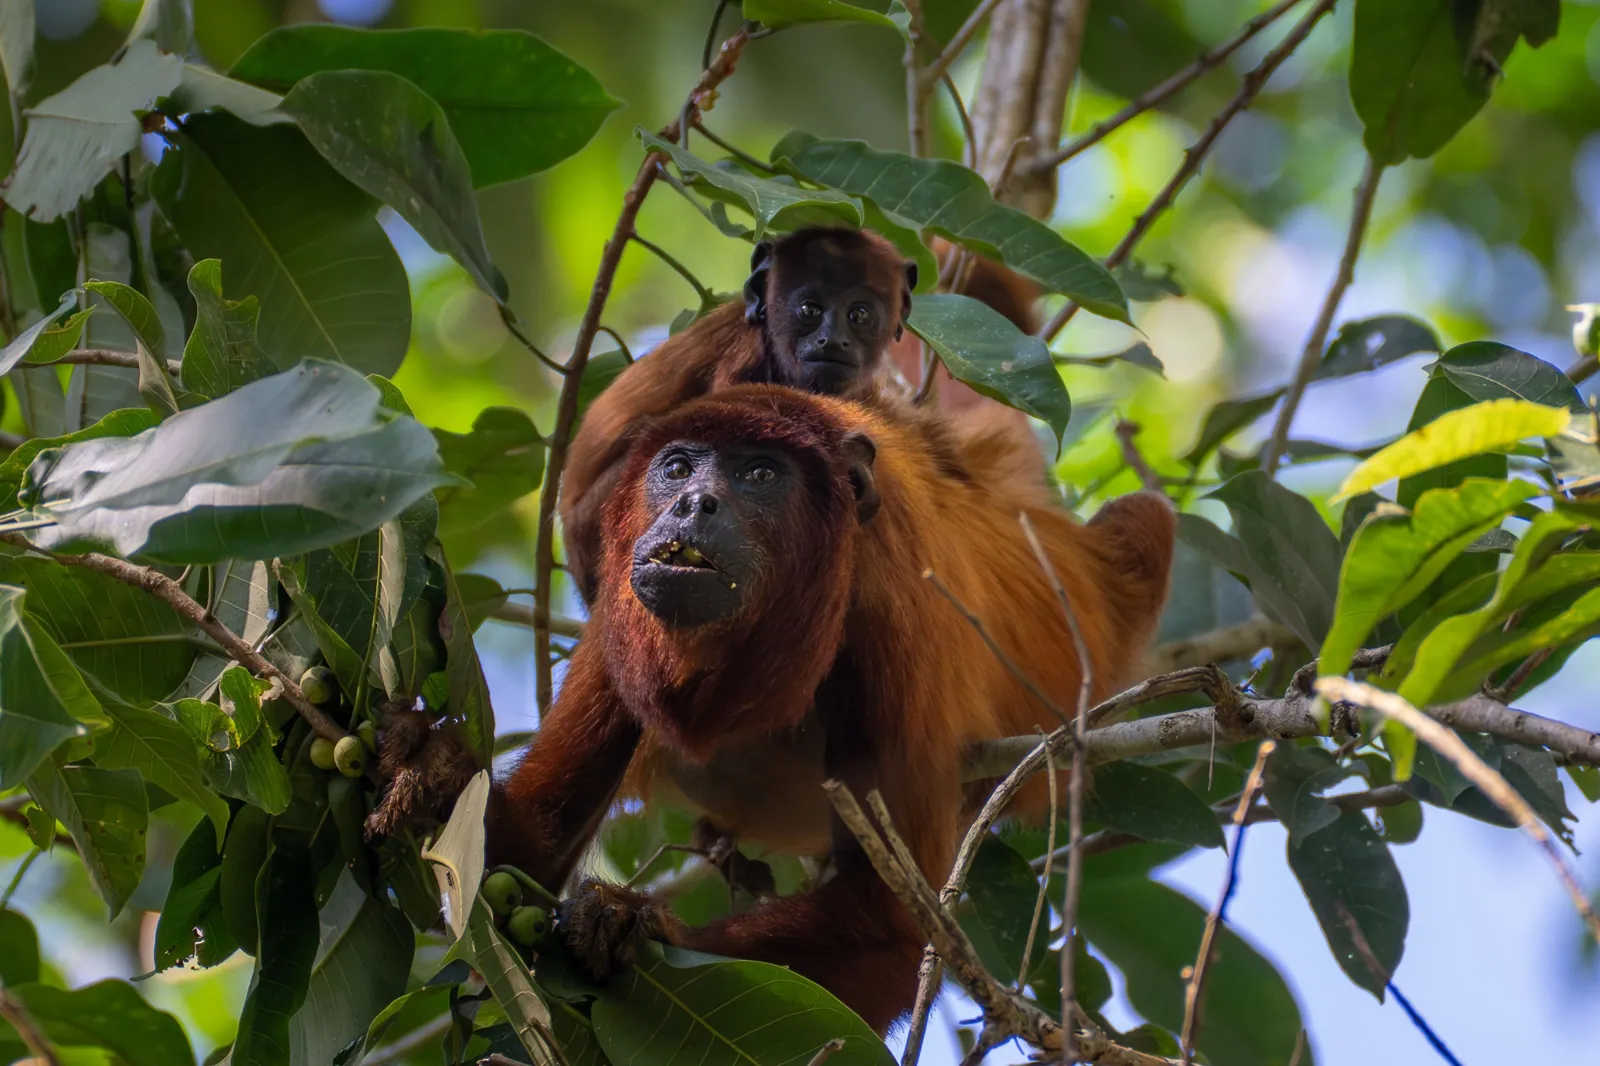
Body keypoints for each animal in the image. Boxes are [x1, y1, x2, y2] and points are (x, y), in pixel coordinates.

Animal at [488, 384, 1175, 1031]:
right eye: (677, 468)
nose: (693, 503)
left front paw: (638, 923)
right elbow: (533, 834)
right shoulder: (620, 608)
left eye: (760, 475)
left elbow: (885, 923)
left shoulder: (896, 621)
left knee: (1145, 516)